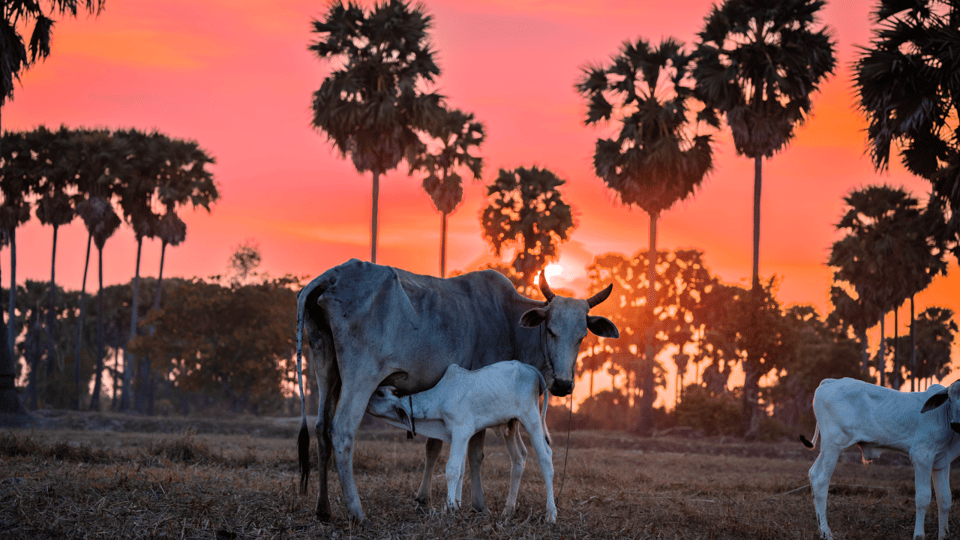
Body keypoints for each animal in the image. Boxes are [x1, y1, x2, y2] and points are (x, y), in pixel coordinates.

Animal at [364, 360, 556, 520]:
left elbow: (452, 469)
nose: (365, 401)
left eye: (380, 393)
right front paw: (455, 506)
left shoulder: (461, 431)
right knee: (519, 457)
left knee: (545, 458)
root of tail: (531, 369)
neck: (440, 399)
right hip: (511, 425)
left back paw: (551, 514)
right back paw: (507, 511)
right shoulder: (459, 436)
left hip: (531, 418)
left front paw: (449, 508)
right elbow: (462, 470)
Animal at [800, 378, 960, 536]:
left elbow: (944, 499)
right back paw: (826, 532)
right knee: (821, 480)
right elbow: (923, 498)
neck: (943, 414)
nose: (956, 423)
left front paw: (943, 535)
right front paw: (918, 535)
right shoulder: (922, 456)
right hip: (833, 445)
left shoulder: (941, 462)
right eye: (950, 399)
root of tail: (830, 381)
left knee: (813, 474)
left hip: (828, 448)